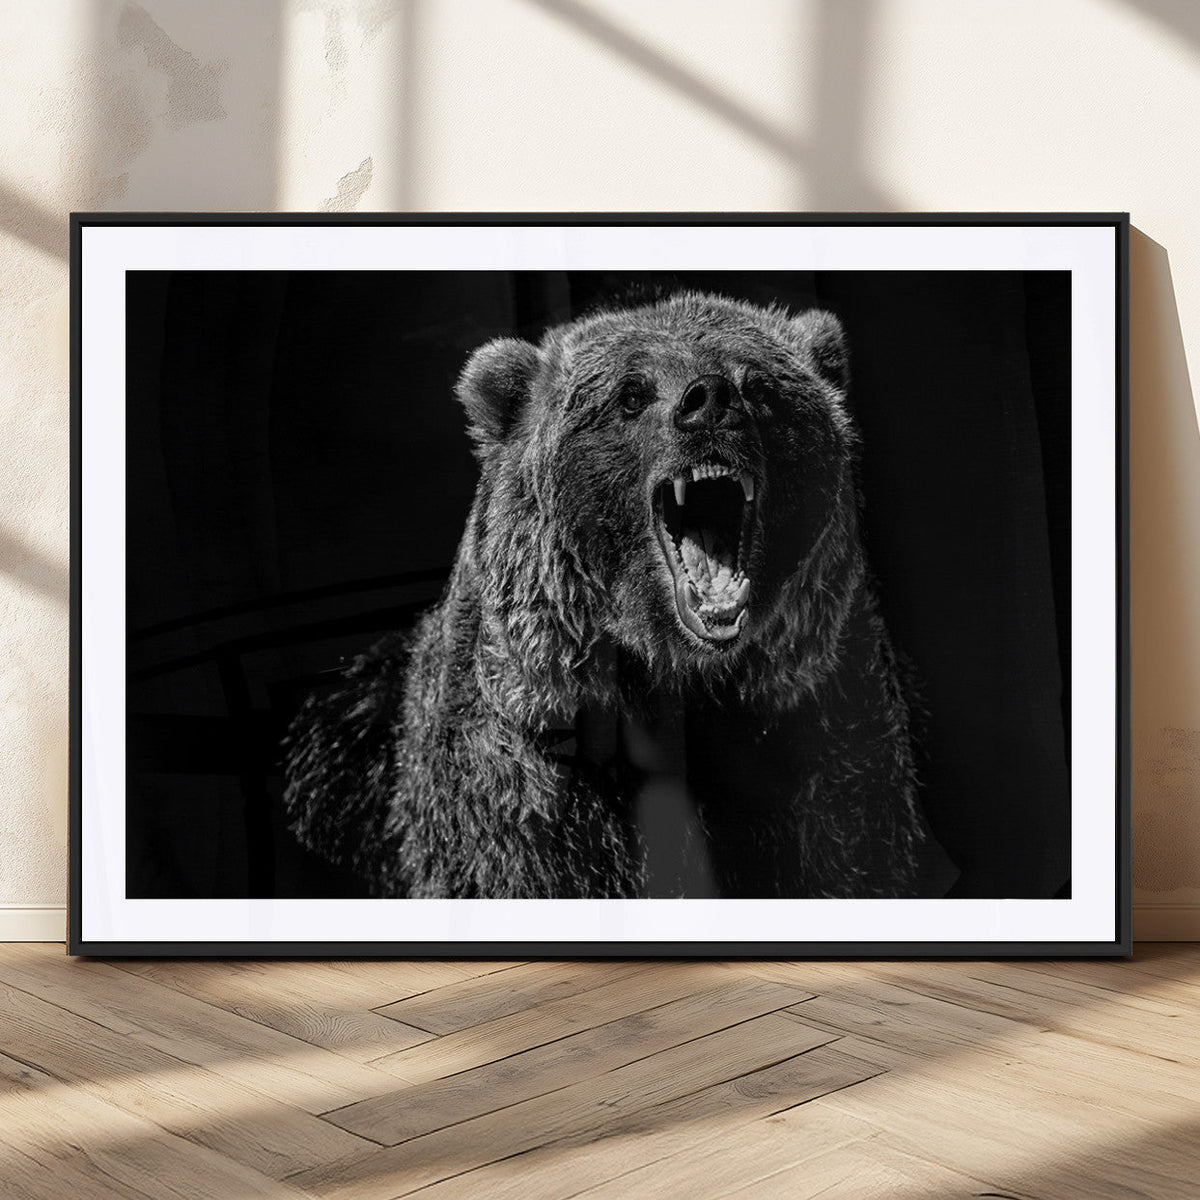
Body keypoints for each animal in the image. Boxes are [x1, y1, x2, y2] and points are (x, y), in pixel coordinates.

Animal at [283, 292, 922, 899]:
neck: (675, 675)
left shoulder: (821, 735)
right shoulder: (529, 779)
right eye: (631, 394)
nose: (710, 401)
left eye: (758, 385)